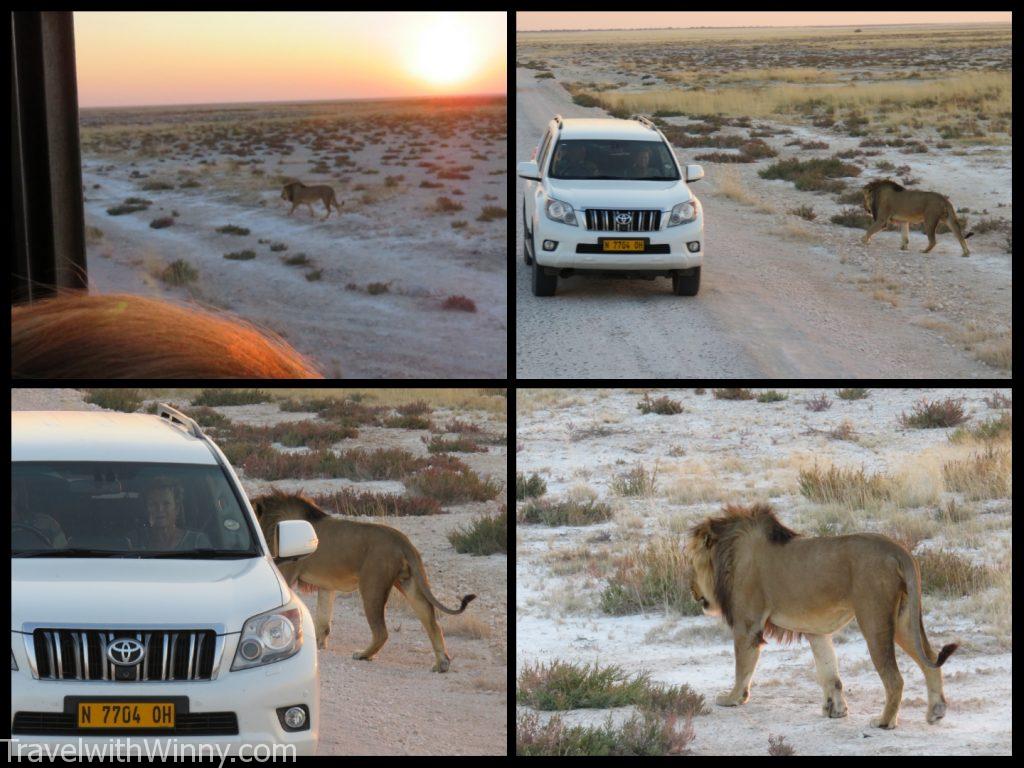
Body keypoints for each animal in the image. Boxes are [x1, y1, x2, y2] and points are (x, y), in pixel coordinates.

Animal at [684, 501, 954, 729]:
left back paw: (884, 721)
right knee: (930, 657)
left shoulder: (747, 625)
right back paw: (936, 711)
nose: (691, 589)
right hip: (903, 620)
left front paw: (732, 698)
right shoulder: (815, 632)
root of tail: (898, 550)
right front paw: (836, 710)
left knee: (894, 678)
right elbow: (829, 672)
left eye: (691, 564)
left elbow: (742, 667)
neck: (728, 554)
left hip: (874, 619)